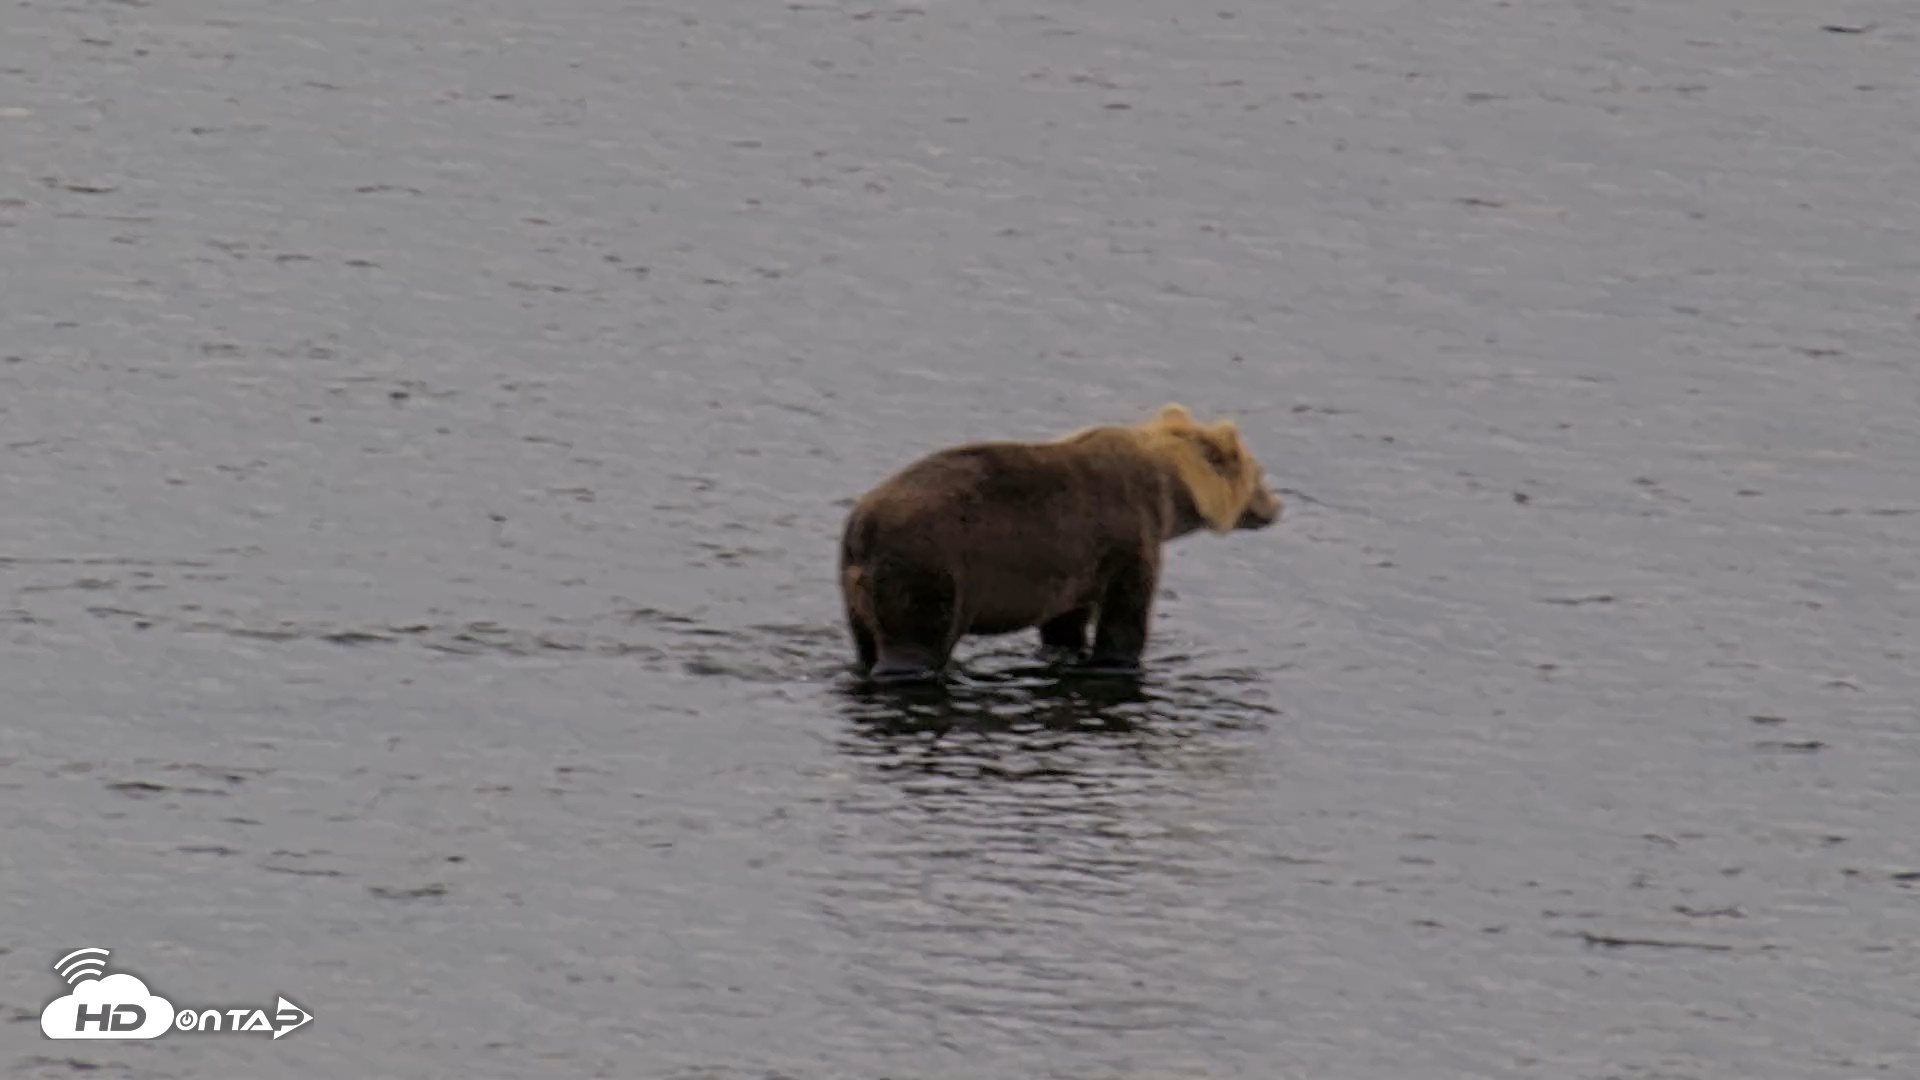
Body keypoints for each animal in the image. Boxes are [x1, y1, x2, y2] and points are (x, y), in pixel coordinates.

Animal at [838, 402, 1282, 685]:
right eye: (1260, 472)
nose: (1277, 506)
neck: (1169, 493)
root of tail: (862, 526)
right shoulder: (1128, 534)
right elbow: (1125, 613)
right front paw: (1117, 660)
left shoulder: (1076, 561)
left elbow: (1066, 618)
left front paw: (1067, 648)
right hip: (928, 568)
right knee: (914, 642)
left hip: (856, 590)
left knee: (865, 643)